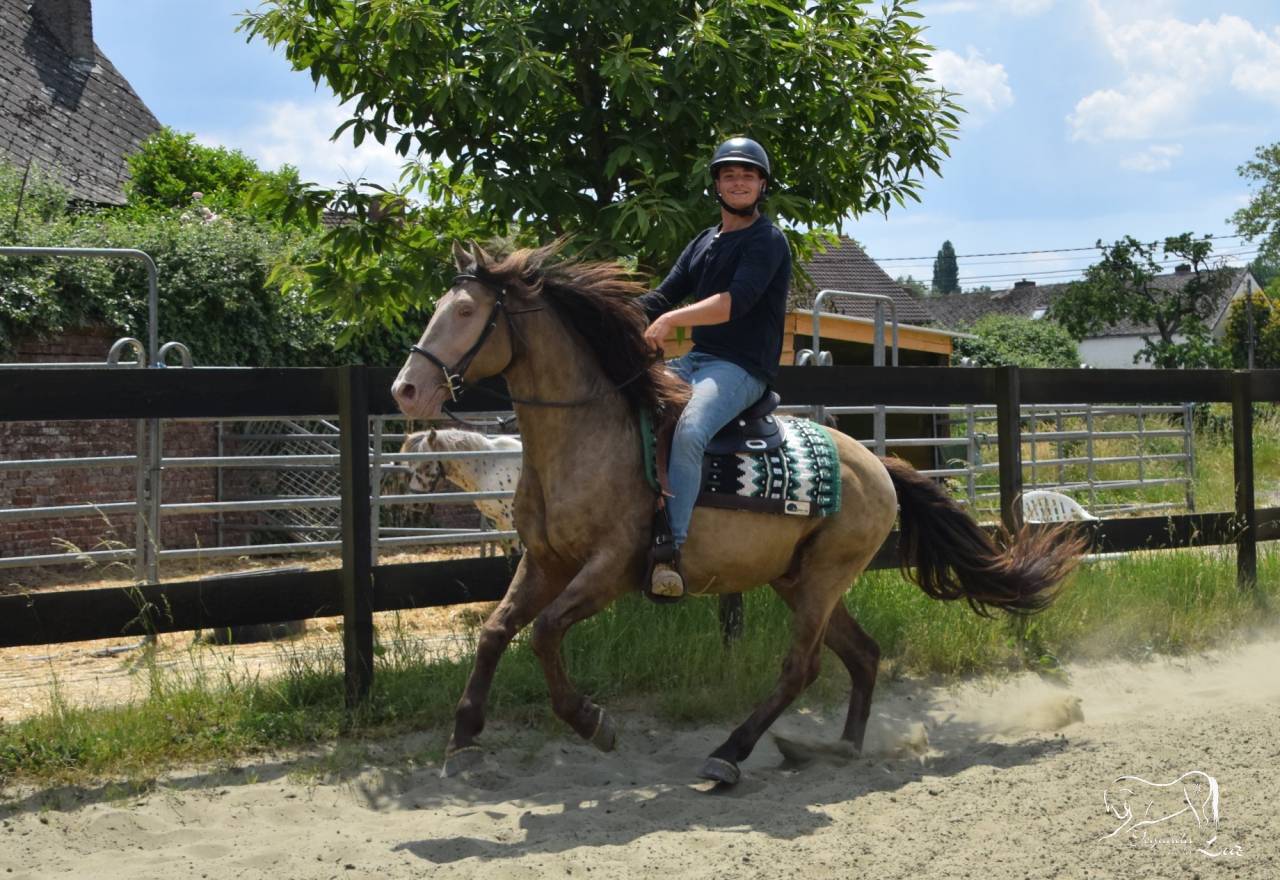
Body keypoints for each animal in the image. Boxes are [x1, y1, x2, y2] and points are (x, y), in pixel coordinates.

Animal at [392, 241, 1083, 785]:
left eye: (465, 311)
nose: (406, 389)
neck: (589, 438)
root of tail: (879, 467)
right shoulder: (544, 562)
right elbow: (495, 630)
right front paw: (463, 741)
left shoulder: (610, 569)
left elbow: (543, 633)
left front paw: (593, 723)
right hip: (798, 579)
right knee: (862, 655)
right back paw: (836, 748)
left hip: (824, 579)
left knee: (802, 666)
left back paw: (731, 754)